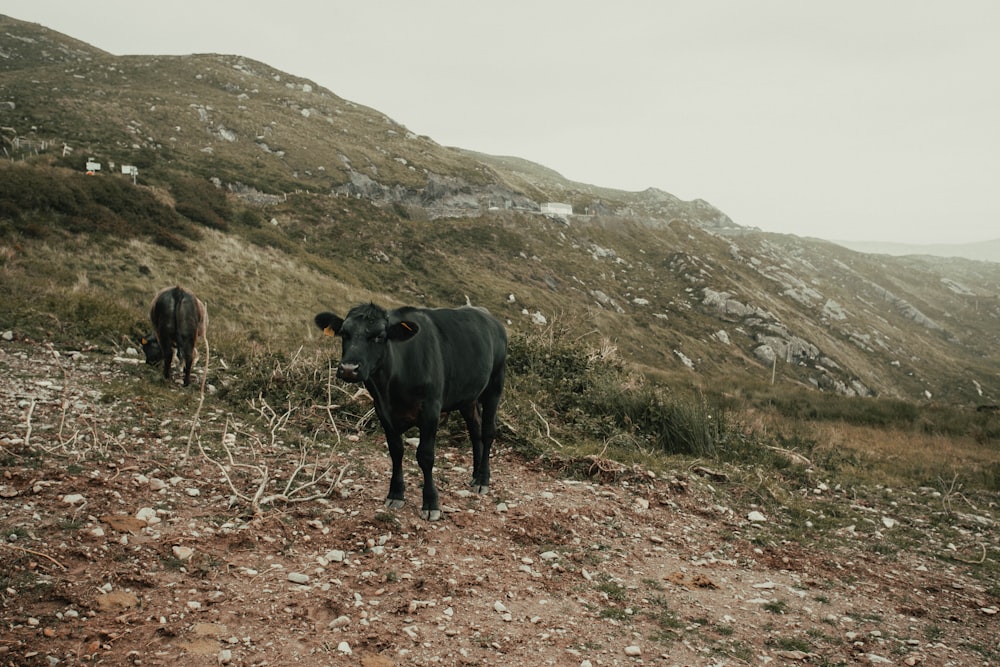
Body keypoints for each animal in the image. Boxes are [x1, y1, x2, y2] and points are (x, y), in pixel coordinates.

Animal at [316, 304, 508, 520]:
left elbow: (425, 456)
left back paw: (483, 479)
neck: (392, 387)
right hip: (468, 396)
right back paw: (475, 475)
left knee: (488, 431)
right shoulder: (383, 411)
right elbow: (396, 451)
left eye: (380, 336)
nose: (349, 369)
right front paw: (395, 493)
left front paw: (431, 502)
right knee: (475, 431)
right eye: (344, 333)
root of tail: (488, 316)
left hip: (495, 384)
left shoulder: (431, 411)